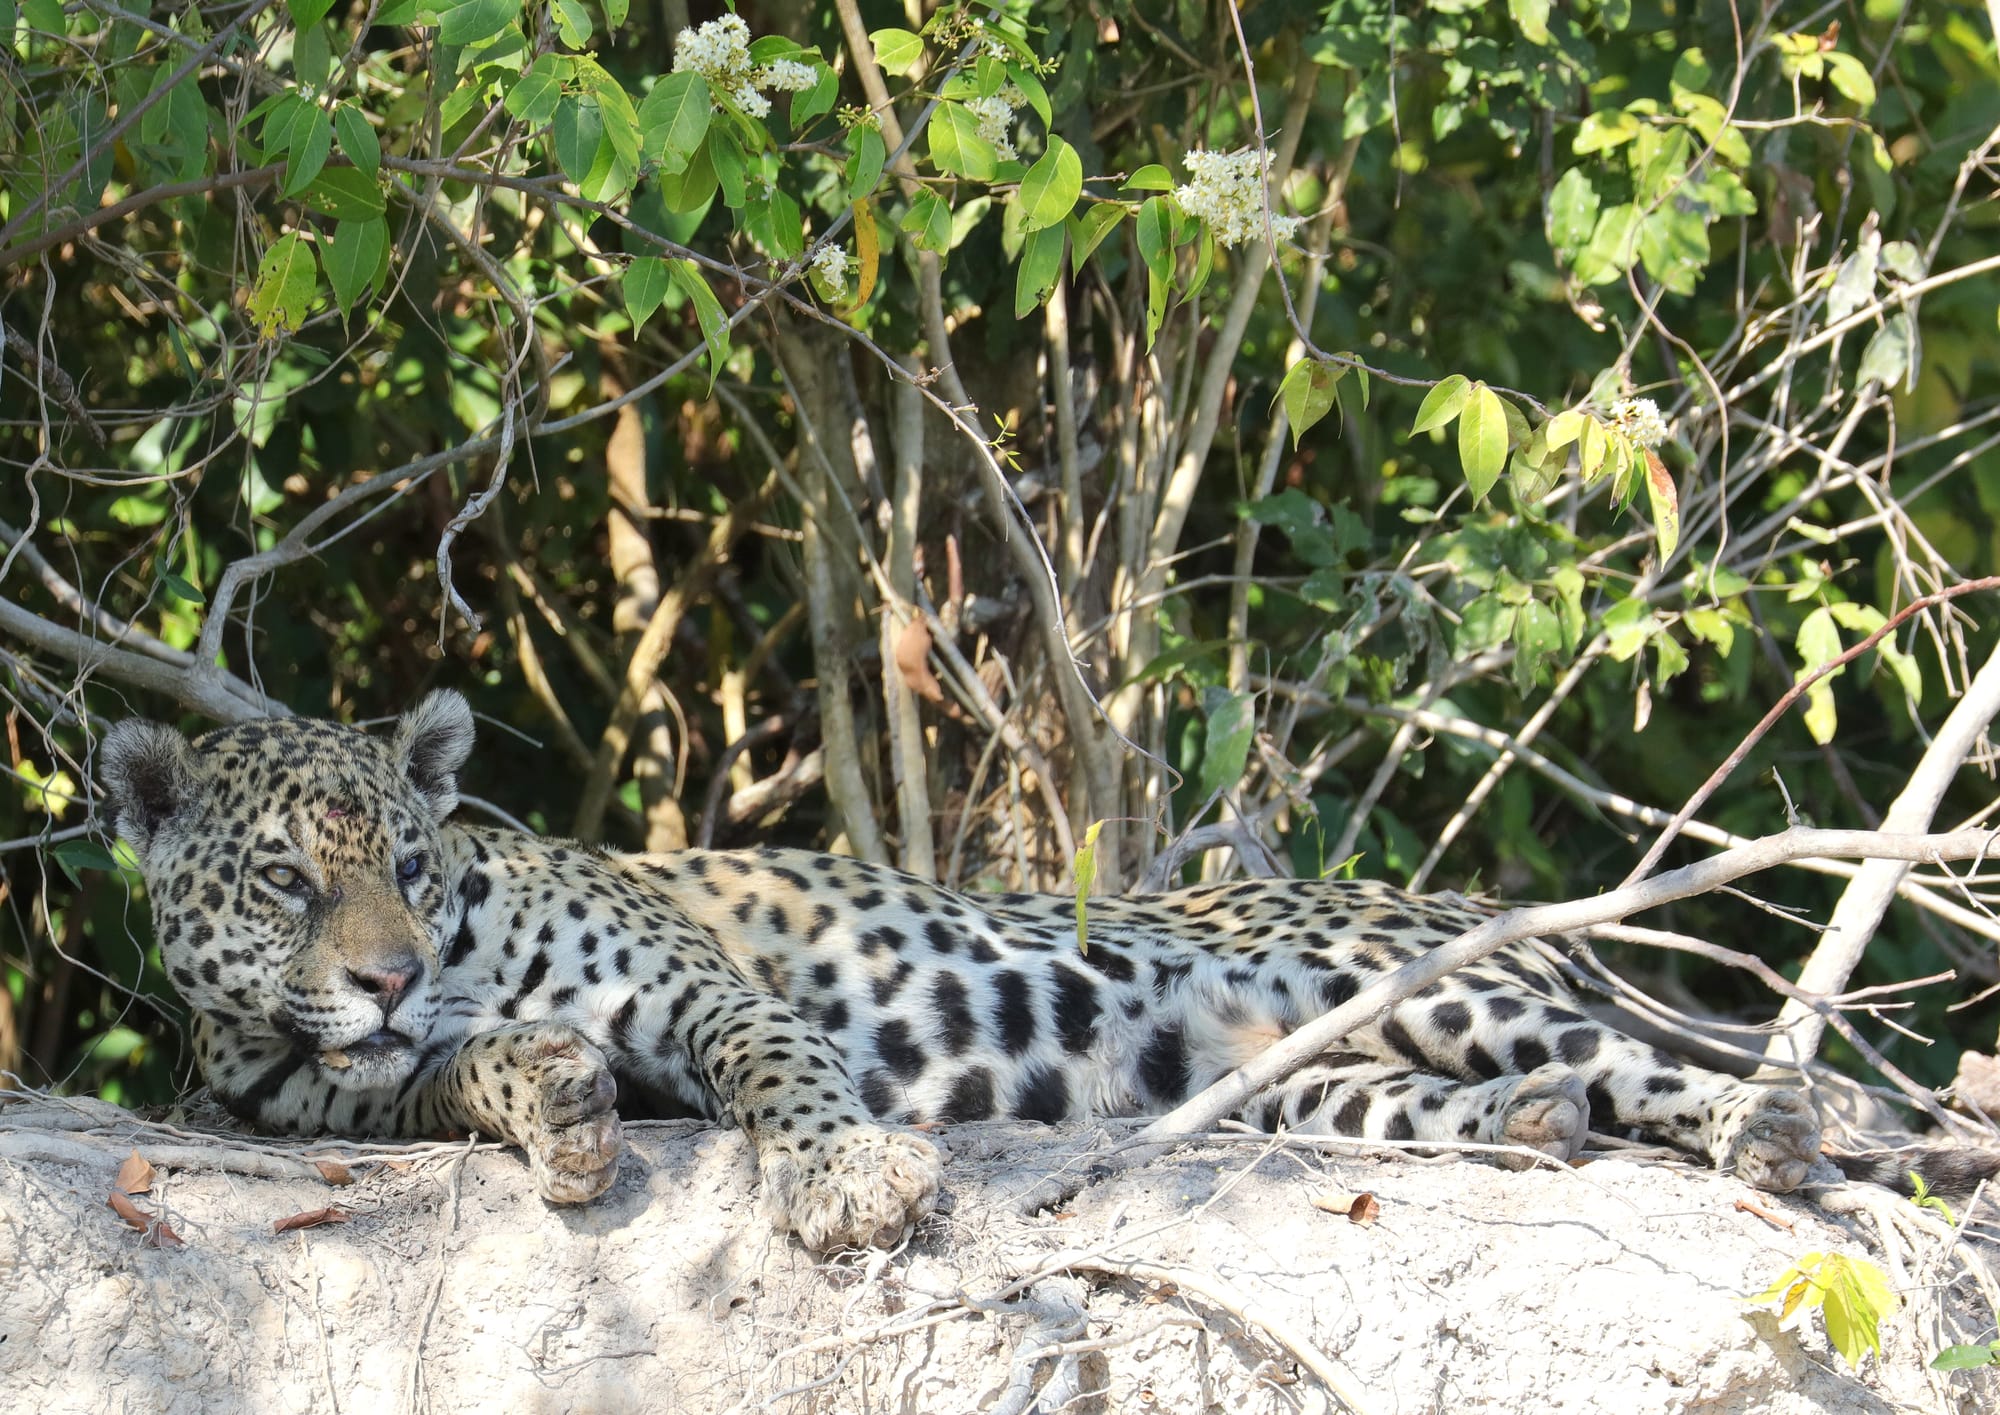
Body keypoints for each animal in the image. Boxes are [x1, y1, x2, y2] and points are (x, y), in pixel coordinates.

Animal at [102, 689, 1955, 1252]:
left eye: (410, 865)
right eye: (288, 881)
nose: (389, 971)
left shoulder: (701, 983)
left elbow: (781, 1068)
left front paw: (848, 1176)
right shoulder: (336, 1095)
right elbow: (466, 1073)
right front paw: (547, 1095)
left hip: (1428, 973)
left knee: (1678, 1066)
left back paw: (1794, 1133)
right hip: (1313, 1081)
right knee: (1501, 1098)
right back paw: (1531, 1130)